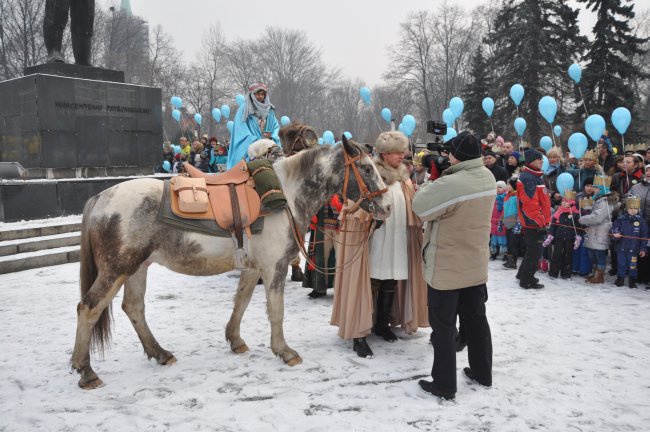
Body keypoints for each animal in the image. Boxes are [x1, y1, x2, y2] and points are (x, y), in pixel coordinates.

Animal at [69, 137, 390, 390]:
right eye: (366, 168)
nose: (386, 207)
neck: (285, 194)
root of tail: (101, 197)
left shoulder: (252, 267)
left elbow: (241, 301)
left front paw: (235, 340)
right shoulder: (274, 267)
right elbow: (276, 311)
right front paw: (284, 351)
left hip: (137, 267)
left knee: (134, 308)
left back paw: (159, 353)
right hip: (117, 269)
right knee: (89, 308)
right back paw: (86, 371)